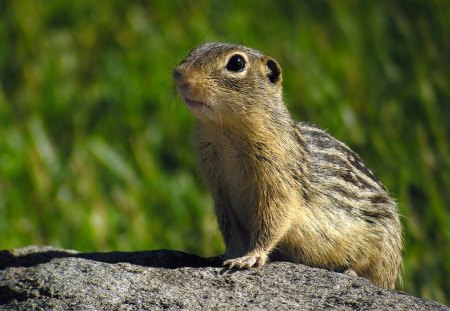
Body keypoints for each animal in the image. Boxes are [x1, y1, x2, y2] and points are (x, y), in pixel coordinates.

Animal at [173, 42, 404, 288]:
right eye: (195, 49)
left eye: (236, 63)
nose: (180, 75)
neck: (225, 134)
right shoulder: (221, 193)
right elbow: (230, 231)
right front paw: (228, 255)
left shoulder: (278, 186)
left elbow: (272, 223)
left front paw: (250, 256)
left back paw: (350, 272)